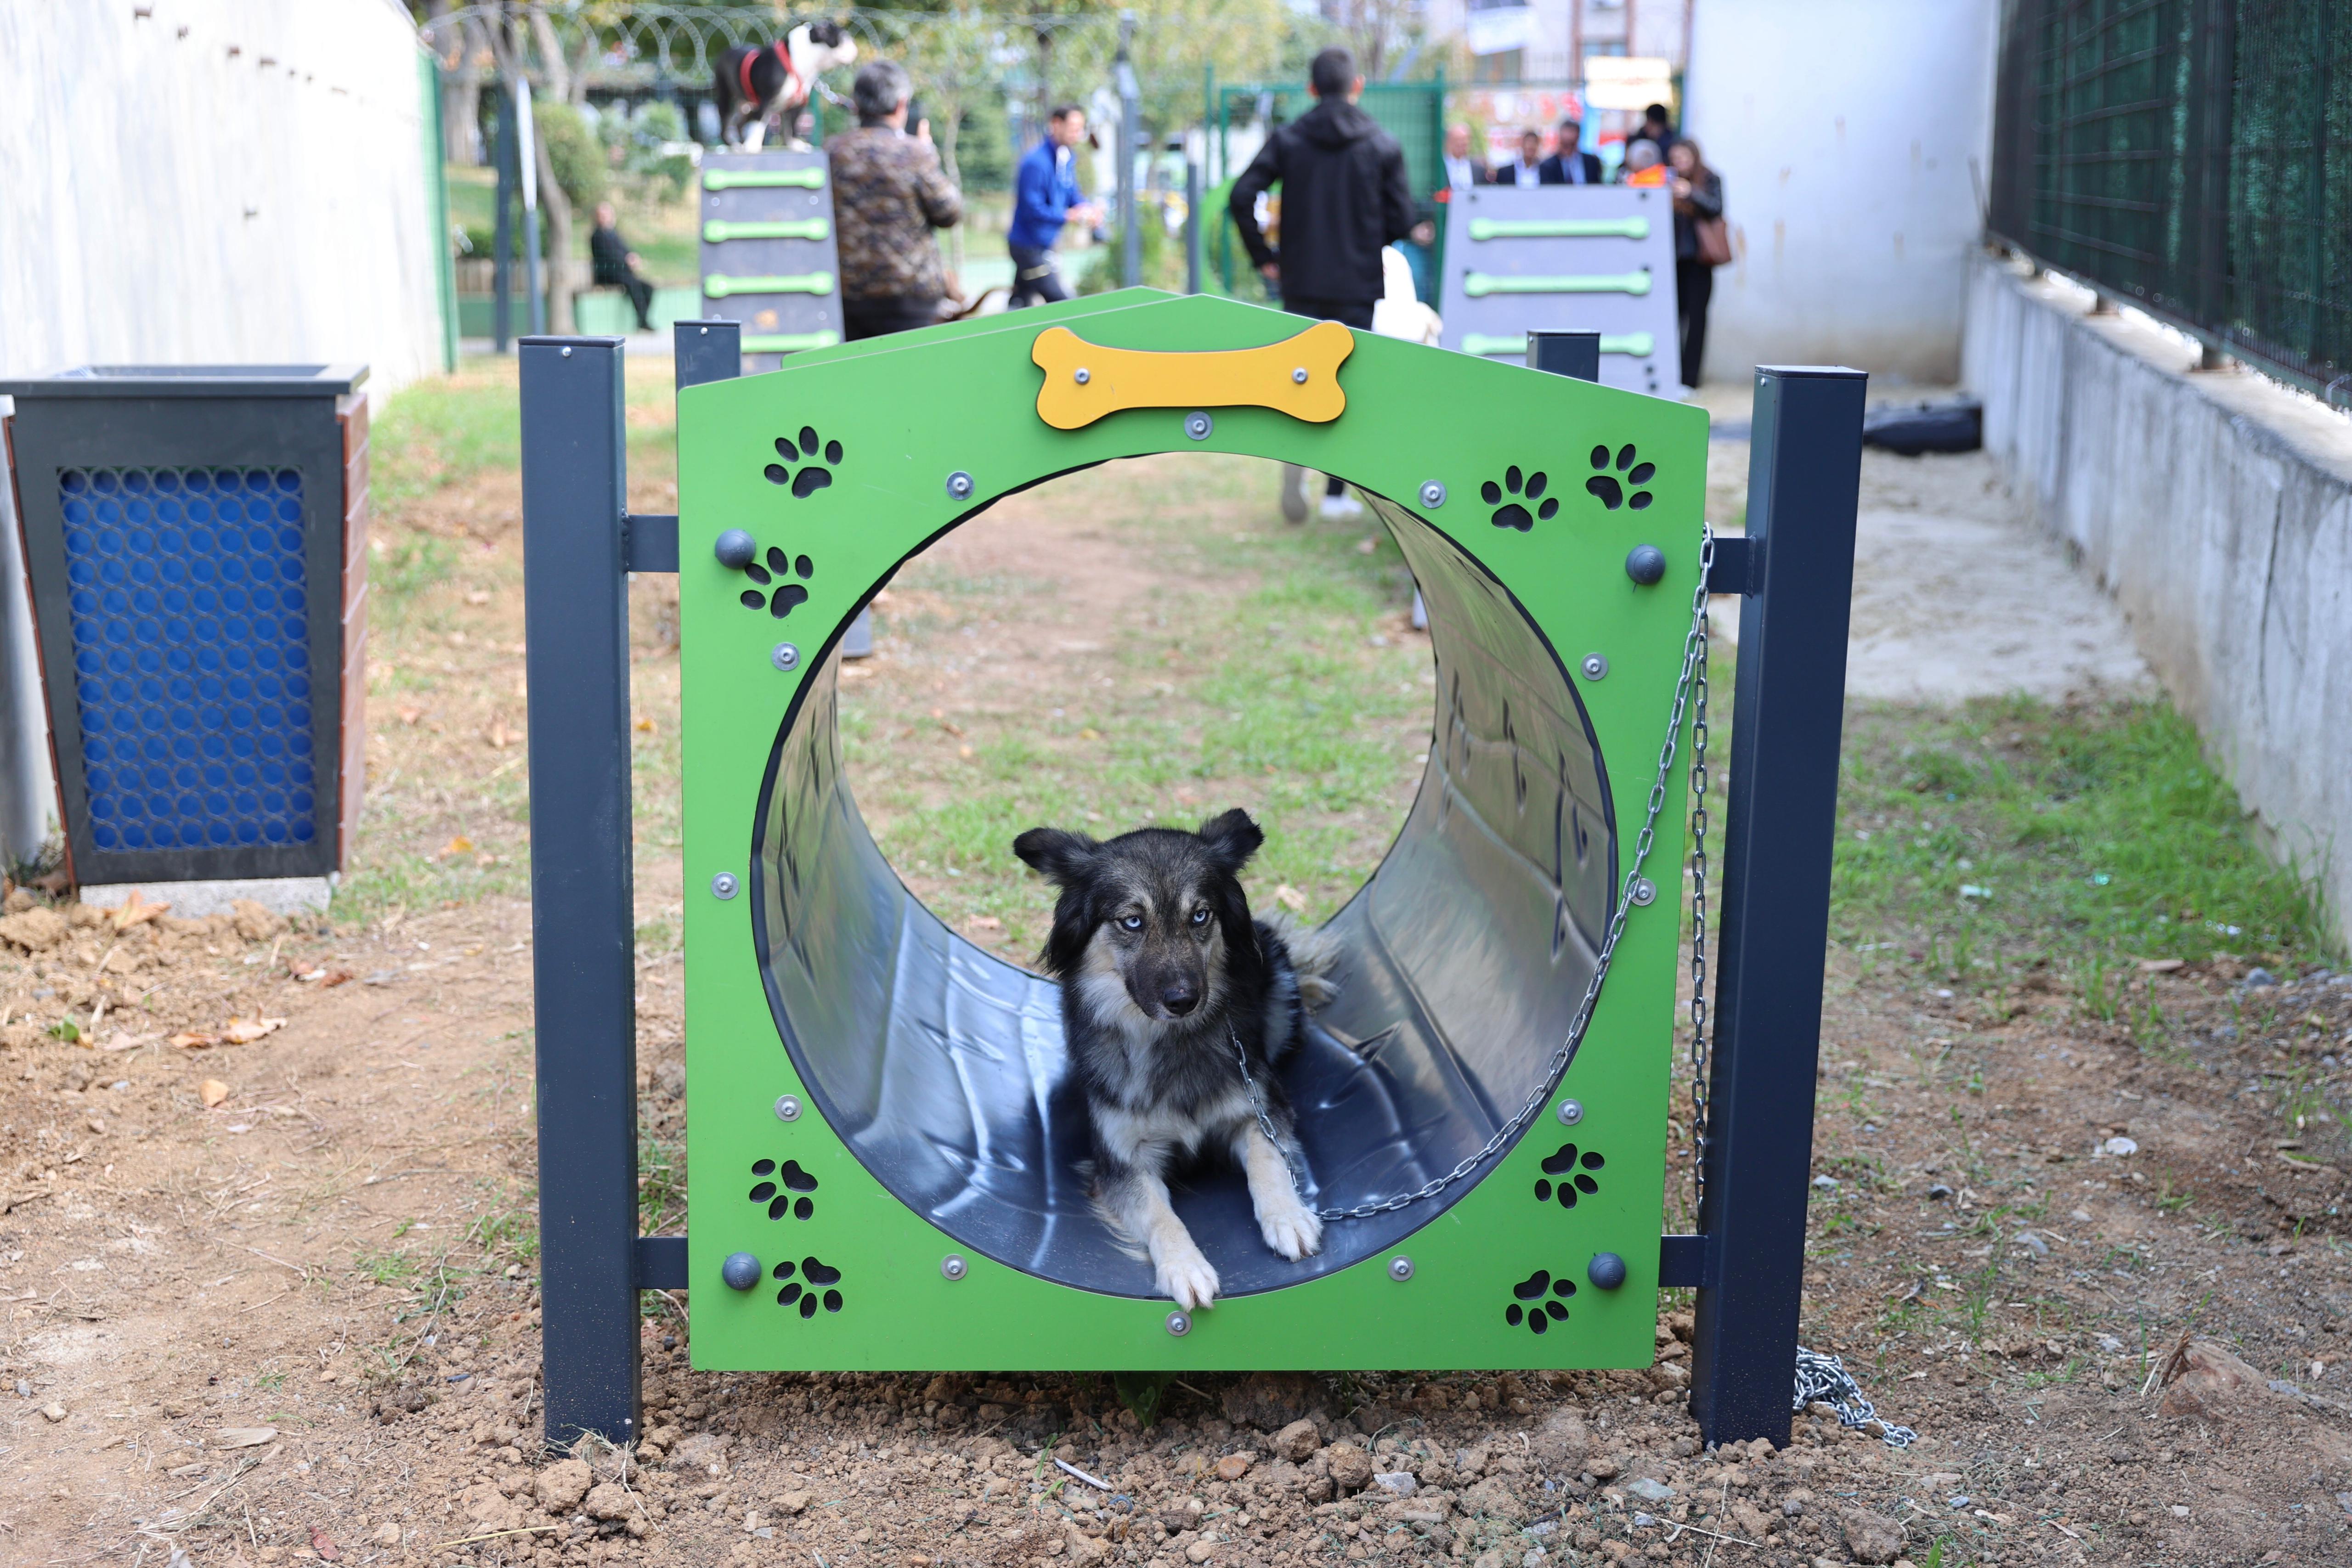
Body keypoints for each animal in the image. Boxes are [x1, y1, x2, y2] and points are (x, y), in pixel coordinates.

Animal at [719, 19, 870, 148]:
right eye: (845, 38)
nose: (855, 47)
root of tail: (729, 50)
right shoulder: (767, 101)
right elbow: (759, 124)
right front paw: (752, 146)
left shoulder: (798, 104)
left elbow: (791, 127)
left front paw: (794, 145)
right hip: (726, 95)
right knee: (725, 121)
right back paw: (733, 144)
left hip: (748, 106)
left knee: (740, 123)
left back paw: (740, 142)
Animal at [1016, 808, 1345, 1316]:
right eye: (1132, 921)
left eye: (1200, 916)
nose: (1183, 1001)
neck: (1169, 1044)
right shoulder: (1121, 1161)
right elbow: (1159, 1215)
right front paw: (1185, 1267)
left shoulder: (1258, 1108)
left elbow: (1267, 1159)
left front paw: (1288, 1216)